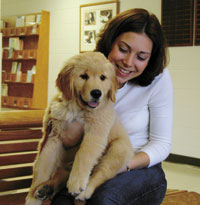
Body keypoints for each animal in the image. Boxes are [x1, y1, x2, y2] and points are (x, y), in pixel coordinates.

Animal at [25, 51, 134, 205]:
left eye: (103, 77)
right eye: (83, 76)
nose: (96, 93)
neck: (76, 109)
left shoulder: (96, 132)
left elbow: (83, 155)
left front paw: (76, 183)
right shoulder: (53, 136)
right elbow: (42, 166)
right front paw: (32, 198)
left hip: (118, 149)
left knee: (100, 173)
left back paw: (83, 192)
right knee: (62, 174)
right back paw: (46, 188)